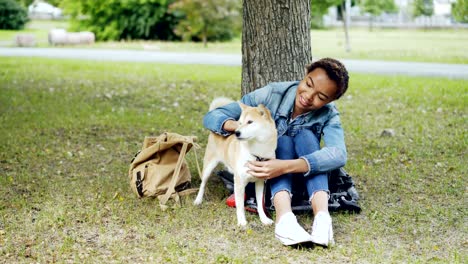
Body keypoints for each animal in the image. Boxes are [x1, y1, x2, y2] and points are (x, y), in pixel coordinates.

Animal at [194, 98, 278, 226]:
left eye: (250, 122)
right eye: (240, 123)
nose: (237, 133)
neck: (257, 153)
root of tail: (213, 132)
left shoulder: (260, 181)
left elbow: (260, 204)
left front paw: (264, 219)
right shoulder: (239, 182)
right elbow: (240, 205)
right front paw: (242, 221)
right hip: (209, 167)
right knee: (202, 184)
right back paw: (198, 200)